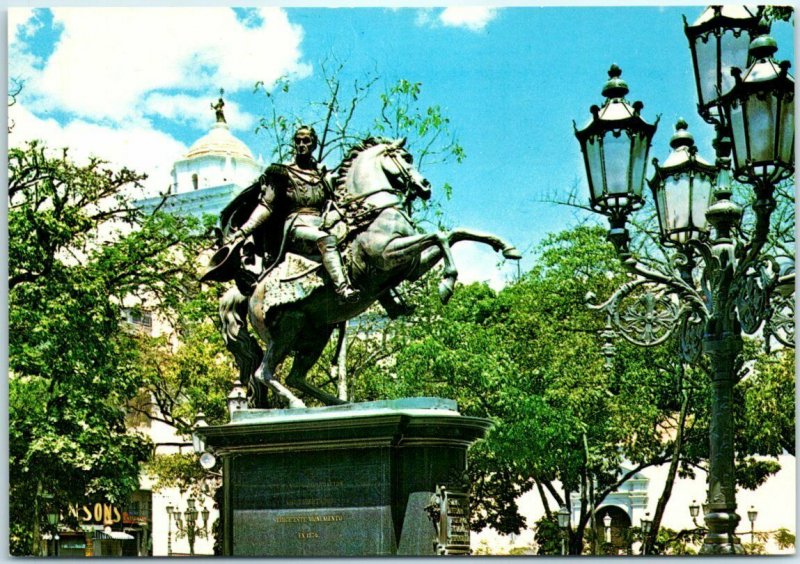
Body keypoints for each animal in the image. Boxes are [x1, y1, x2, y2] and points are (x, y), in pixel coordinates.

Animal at [220, 139, 520, 408]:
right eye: (406, 158)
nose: (425, 186)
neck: (374, 213)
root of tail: (249, 293)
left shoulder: (411, 266)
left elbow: (454, 233)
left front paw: (506, 247)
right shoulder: (388, 253)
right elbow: (440, 235)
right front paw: (447, 283)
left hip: (317, 334)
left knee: (296, 376)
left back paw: (340, 404)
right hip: (286, 330)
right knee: (265, 372)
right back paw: (297, 404)